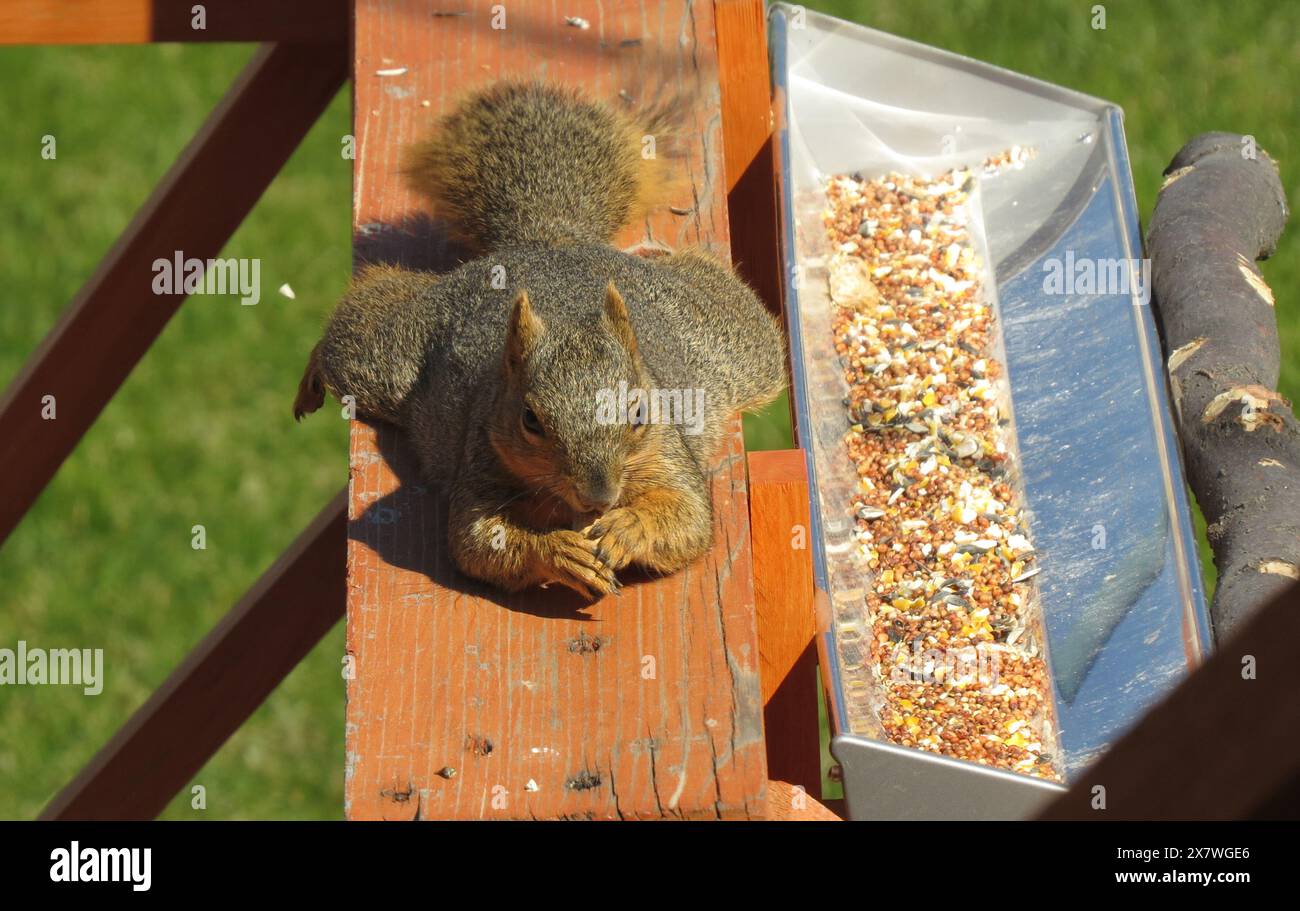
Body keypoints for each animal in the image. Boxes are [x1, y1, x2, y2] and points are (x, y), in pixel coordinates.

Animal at [294, 81, 786, 600]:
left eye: (639, 414)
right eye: (530, 419)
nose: (598, 496)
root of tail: (550, 240)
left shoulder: (668, 453)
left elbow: (688, 519)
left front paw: (627, 529)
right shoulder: (482, 457)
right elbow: (478, 540)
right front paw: (558, 552)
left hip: (729, 341)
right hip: (390, 354)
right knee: (359, 320)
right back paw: (311, 376)